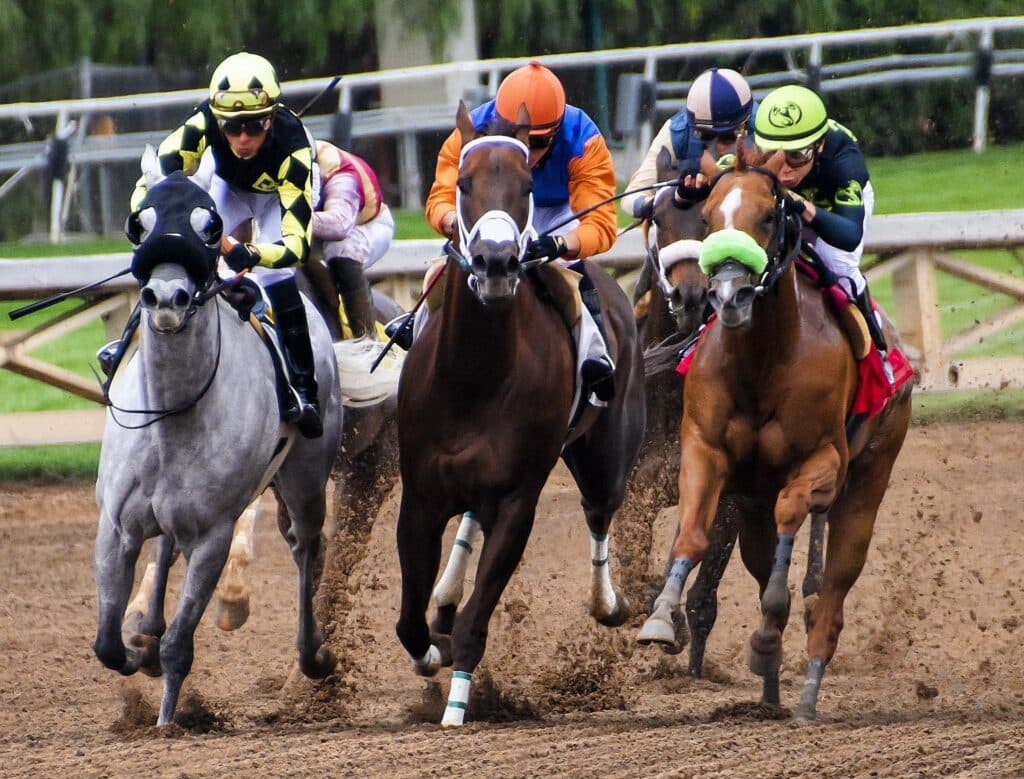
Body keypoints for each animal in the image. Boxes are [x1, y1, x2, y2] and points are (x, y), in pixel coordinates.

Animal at [92, 159, 344, 727]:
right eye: (140, 224)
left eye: (210, 228)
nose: (166, 299)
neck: (171, 419)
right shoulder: (115, 526)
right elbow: (107, 645)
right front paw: (138, 649)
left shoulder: (213, 535)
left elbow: (179, 646)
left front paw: (167, 724)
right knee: (164, 548)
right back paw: (147, 627)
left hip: (305, 477)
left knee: (306, 547)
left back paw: (313, 654)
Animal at [392, 103, 646, 727]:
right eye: (463, 183)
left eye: (527, 186)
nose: (497, 262)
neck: (474, 376)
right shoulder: (421, 496)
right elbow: (409, 622)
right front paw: (431, 649)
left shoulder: (516, 502)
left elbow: (476, 622)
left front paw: (456, 710)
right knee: (467, 525)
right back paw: (444, 597)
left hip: (606, 455)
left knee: (598, 511)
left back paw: (607, 603)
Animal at [636, 147, 912, 720]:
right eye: (709, 216)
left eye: (768, 215)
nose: (725, 294)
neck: (762, 359)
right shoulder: (705, 453)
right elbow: (690, 533)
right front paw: (659, 617)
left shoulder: (821, 462)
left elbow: (792, 524)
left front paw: (766, 635)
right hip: (752, 506)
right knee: (765, 562)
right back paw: (768, 695)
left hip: (868, 479)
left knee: (831, 590)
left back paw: (804, 692)